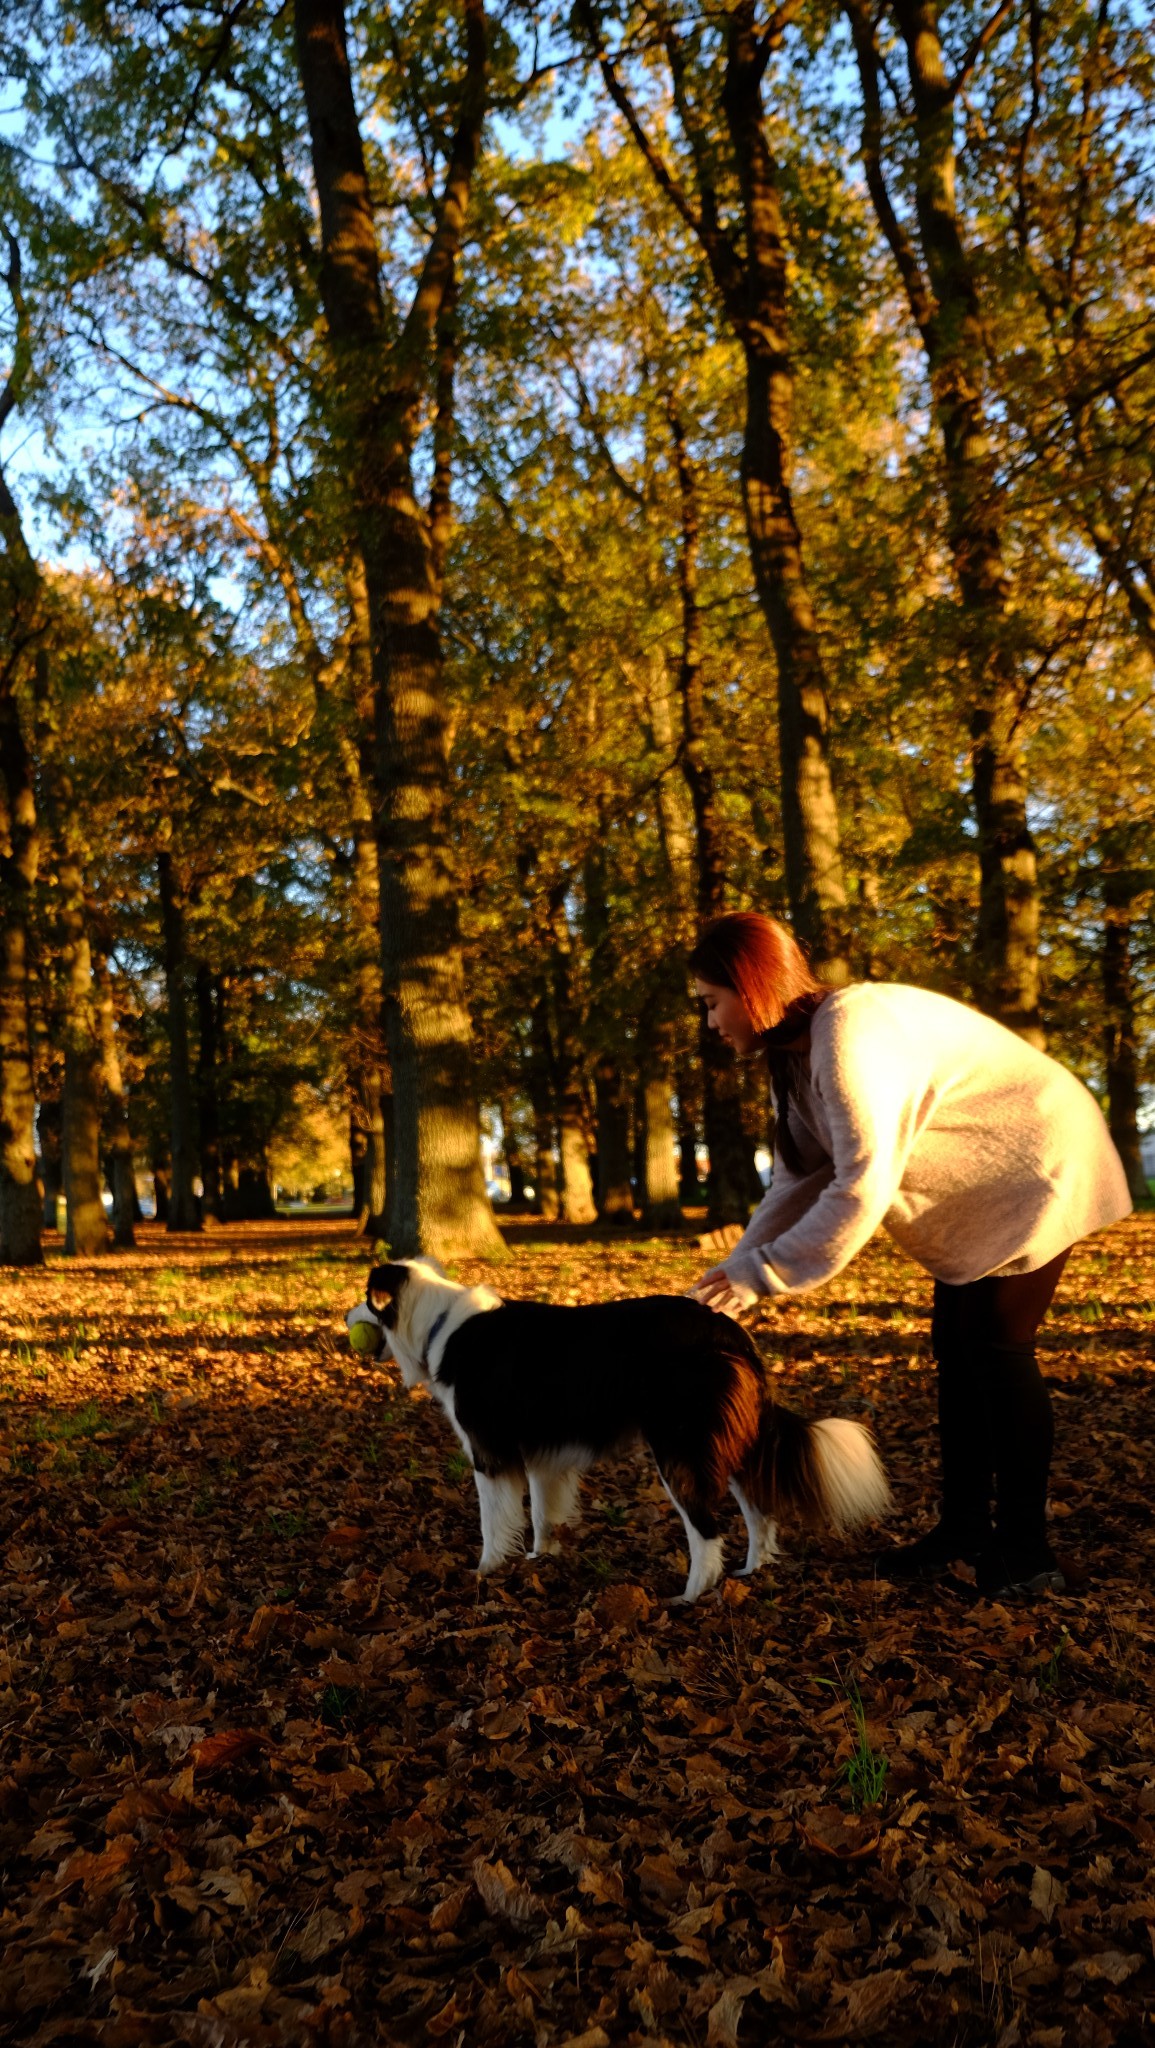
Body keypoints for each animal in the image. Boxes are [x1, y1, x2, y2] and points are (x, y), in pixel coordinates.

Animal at [352, 1261, 892, 1597]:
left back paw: (691, 1595)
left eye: (365, 1300)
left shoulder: (490, 1454)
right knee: (760, 1512)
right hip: (727, 1442)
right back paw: (752, 1569)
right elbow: (544, 1517)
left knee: (706, 1530)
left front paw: (486, 1571)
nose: (343, 1316)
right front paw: (541, 1559)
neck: (438, 1324)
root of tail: (726, 1328)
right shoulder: (544, 1460)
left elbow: (492, 1522)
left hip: (679, 1447)